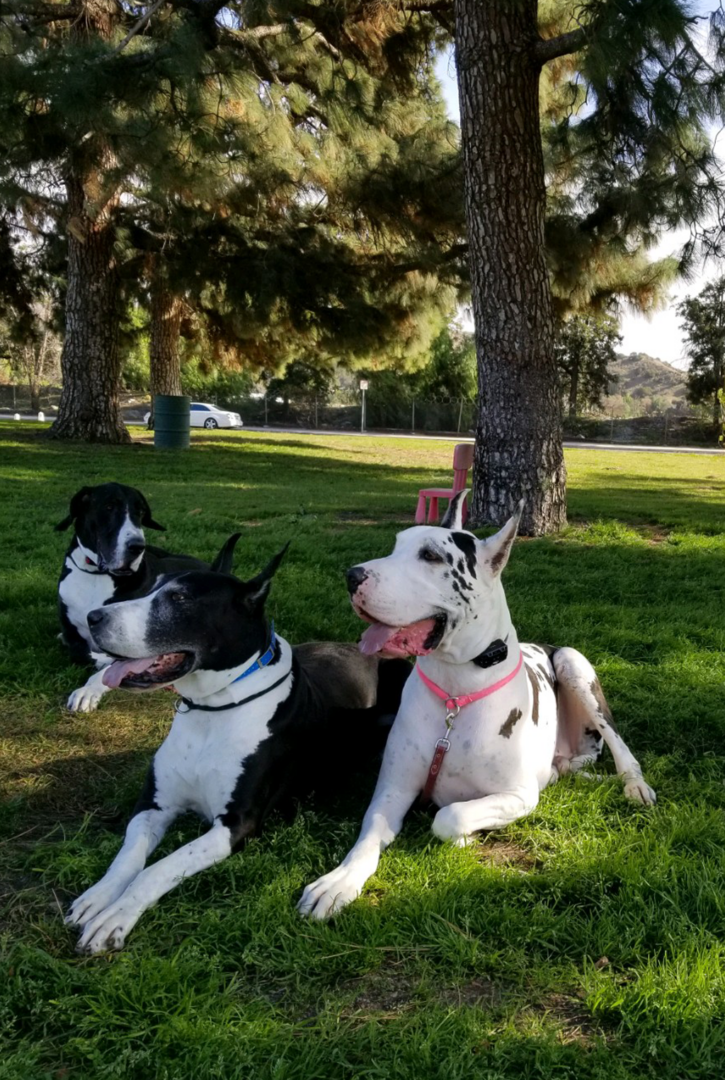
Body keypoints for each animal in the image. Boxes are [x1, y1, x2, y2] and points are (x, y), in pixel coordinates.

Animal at [57, 486, 237, 712]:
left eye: (140, 512)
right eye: (109, 507)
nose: (137, 546)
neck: (96, 576)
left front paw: (88, 690)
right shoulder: (72, 634)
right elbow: (81, 651)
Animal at [65, 548, 410, 954]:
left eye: (179, 598)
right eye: (150, 588)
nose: (93, 617)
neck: (214, 708)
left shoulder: (235, 824)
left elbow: (158, 869)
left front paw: (116, 917)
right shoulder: (153, 805)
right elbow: (127, 858)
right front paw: (97, 897)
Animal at [298, 490, 656, 920]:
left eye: (431, 556)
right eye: (396, 545)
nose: (352, 576)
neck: (456, 693)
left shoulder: (519, 795)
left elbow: (448, 816)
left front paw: (464, 838)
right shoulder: (392, 790)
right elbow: (367, 840)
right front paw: (338, 882)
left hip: (574, 665)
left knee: (622, 752)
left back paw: (636, 786)